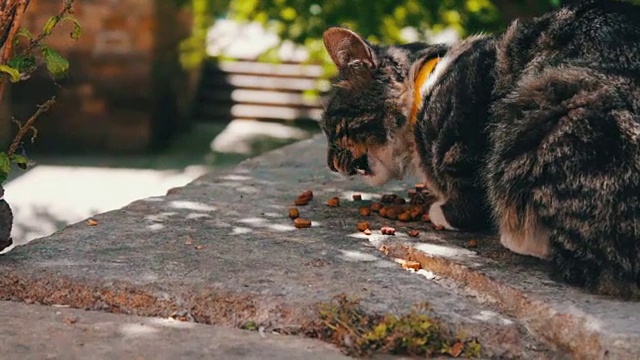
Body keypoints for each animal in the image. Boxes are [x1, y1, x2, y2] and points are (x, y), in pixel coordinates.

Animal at [320, 0, 640, 298]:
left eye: (332, 128)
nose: (330, 164)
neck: (423, 91)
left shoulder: (467, 131)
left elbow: (470, 200)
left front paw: (442, 211)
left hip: (546, 107)